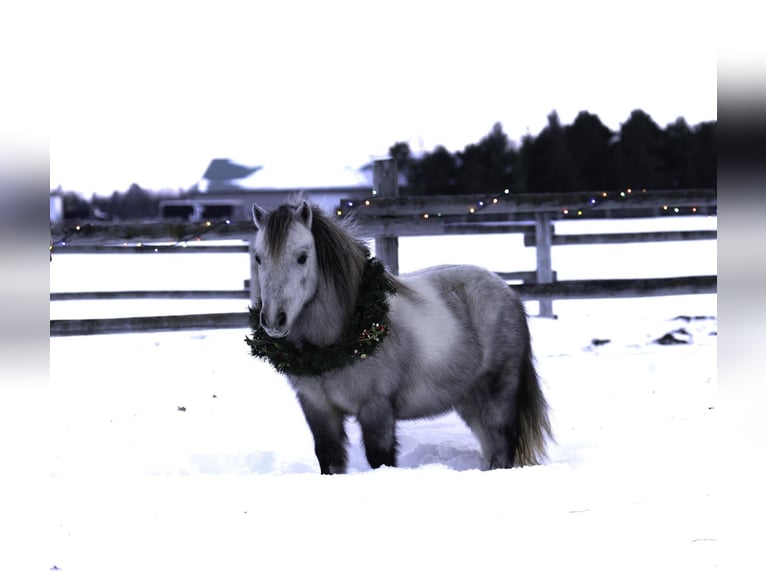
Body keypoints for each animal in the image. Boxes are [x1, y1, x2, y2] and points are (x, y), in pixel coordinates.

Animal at [245, 196, 552, 474]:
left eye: (302, 257)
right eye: (258, 257)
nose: (273, 319)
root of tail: (508, 291)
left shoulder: (376, 408)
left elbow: (380, 458)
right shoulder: (318, 409)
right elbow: (329, 459)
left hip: (498, 395)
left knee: (501, 448)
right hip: (470, 399)